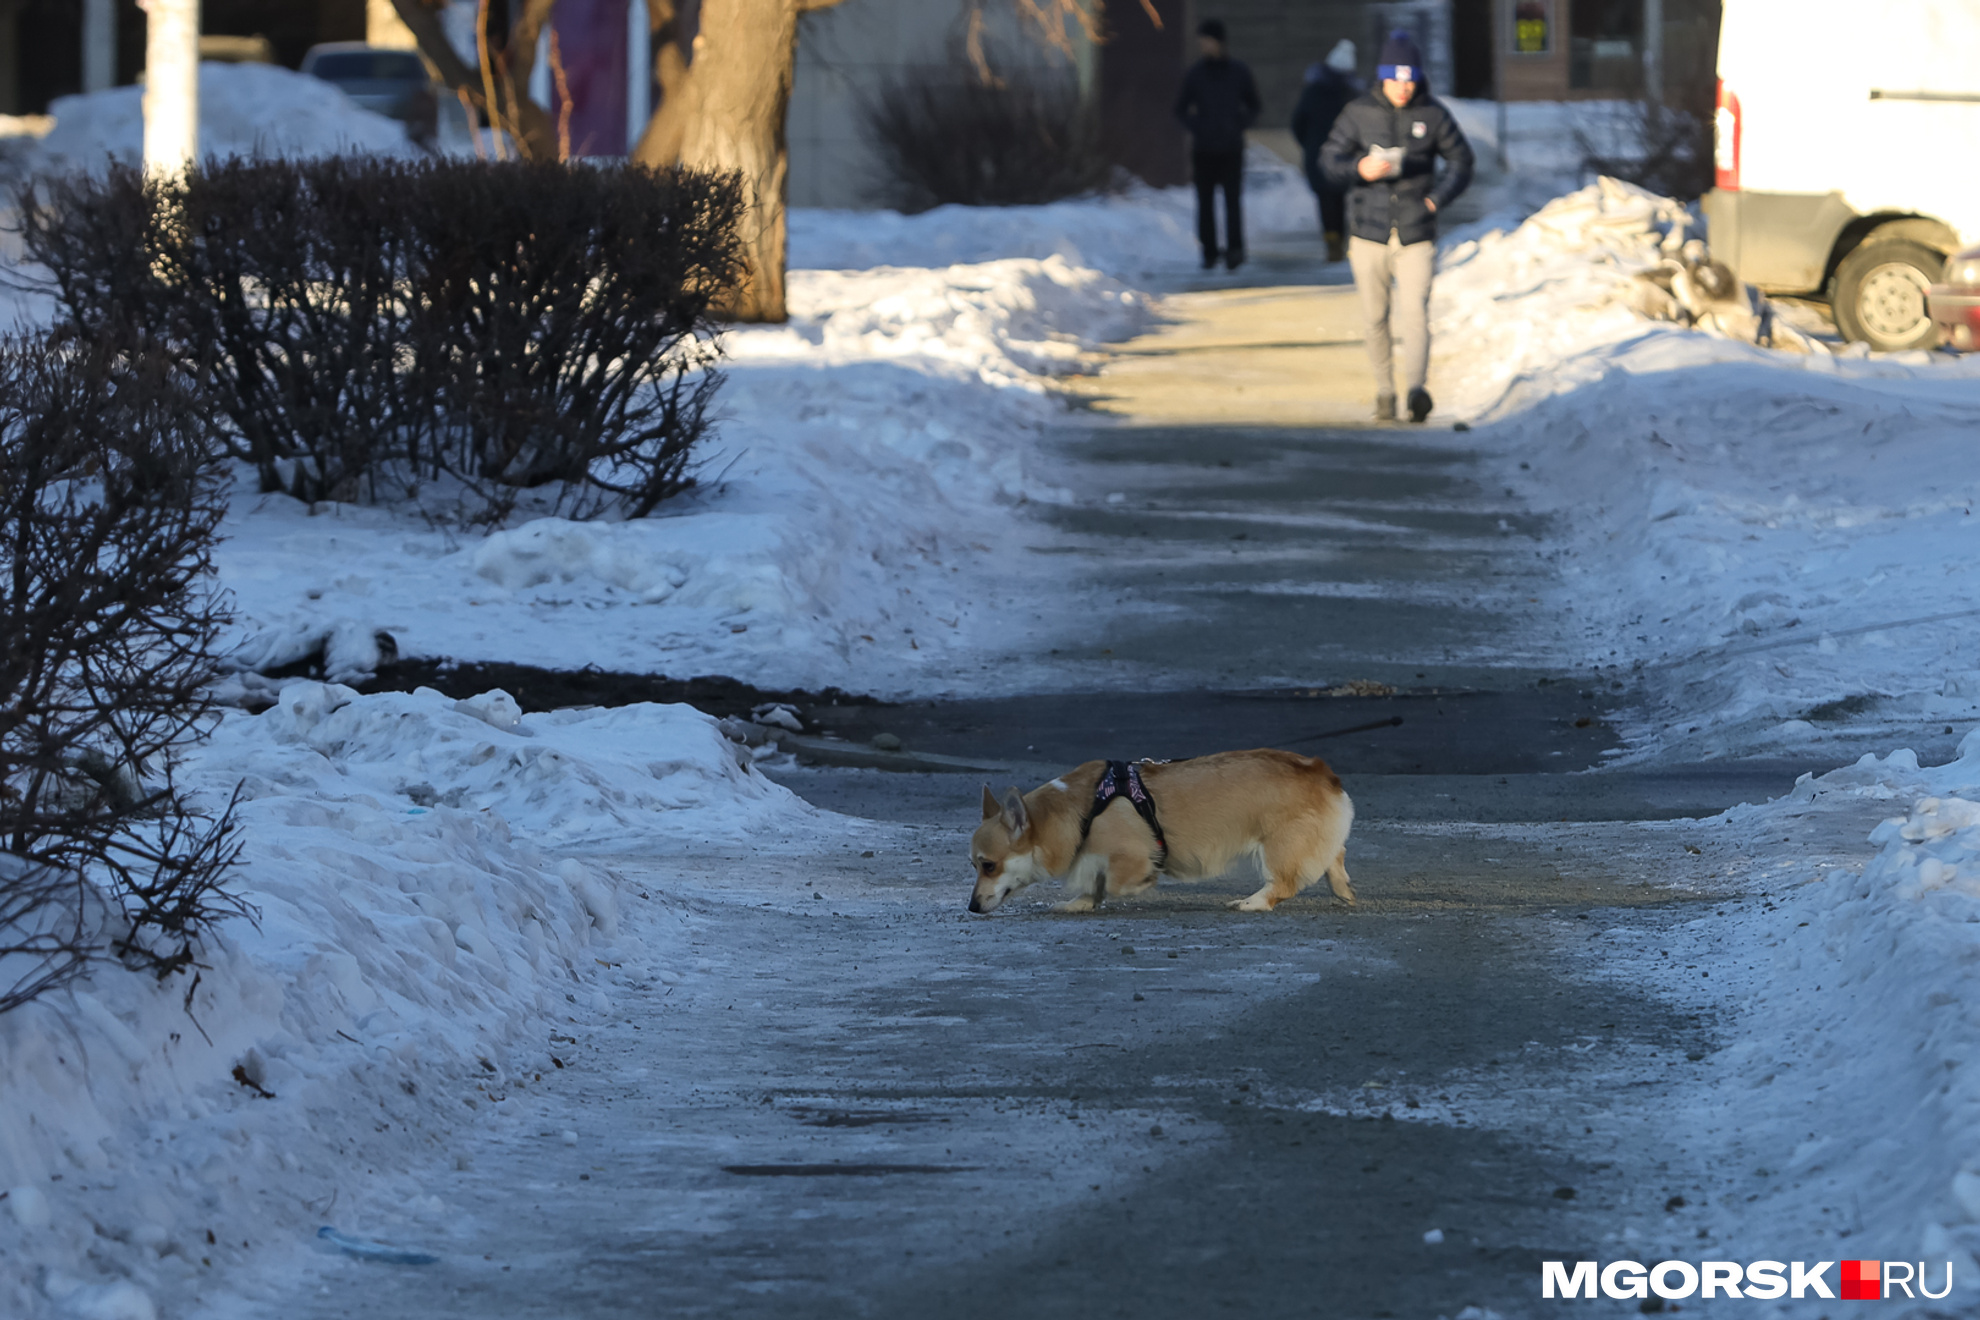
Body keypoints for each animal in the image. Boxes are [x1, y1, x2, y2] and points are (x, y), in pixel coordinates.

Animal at [966, 748, 1354, 914]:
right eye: (975, 865)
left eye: (989, 865)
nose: (971, 907)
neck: (1081, 811)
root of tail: (1323, 773)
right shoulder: (1092, 859)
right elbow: (1094, 884)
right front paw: (1080, 903)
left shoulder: (1128, 855)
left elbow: (1116, 882)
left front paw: (1143, 883)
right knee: (1334, 855)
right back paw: (1343, 889)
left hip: (1276, 847)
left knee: (1283, 884)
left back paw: (1251, 902)